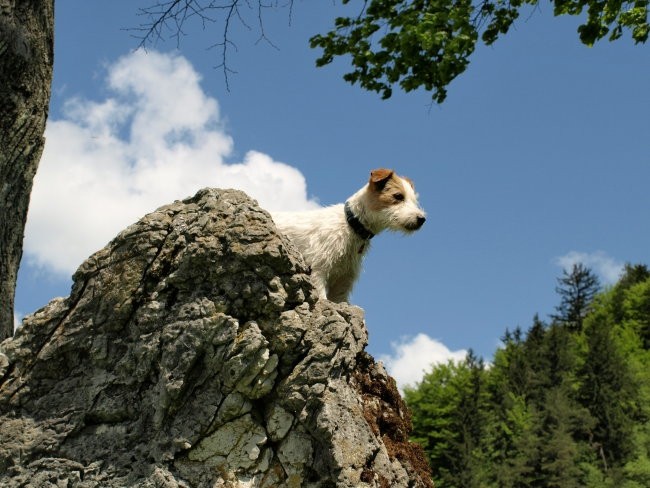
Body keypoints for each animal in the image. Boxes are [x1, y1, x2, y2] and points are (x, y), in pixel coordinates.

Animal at [270, 170, 426, 304]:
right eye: (398, 196)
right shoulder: (319, 269)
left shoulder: (343, 281)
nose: (422, 219)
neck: (351, 225)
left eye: (414, 200)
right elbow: (321, 295)